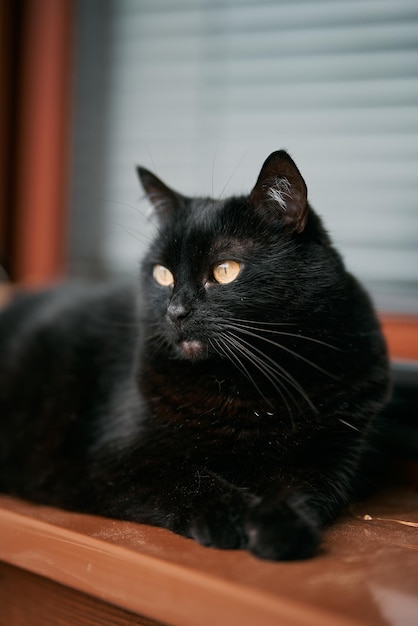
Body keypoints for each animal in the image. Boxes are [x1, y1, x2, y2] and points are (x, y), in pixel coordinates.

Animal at [0, 152, 388, 560]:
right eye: (162, 274)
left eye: (225, 270)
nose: (176, 312)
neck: (246, 388)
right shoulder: (116, 459)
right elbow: (188, 478)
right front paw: (230, 518)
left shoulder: (329, 458)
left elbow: (298, 490)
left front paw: (280, 528)